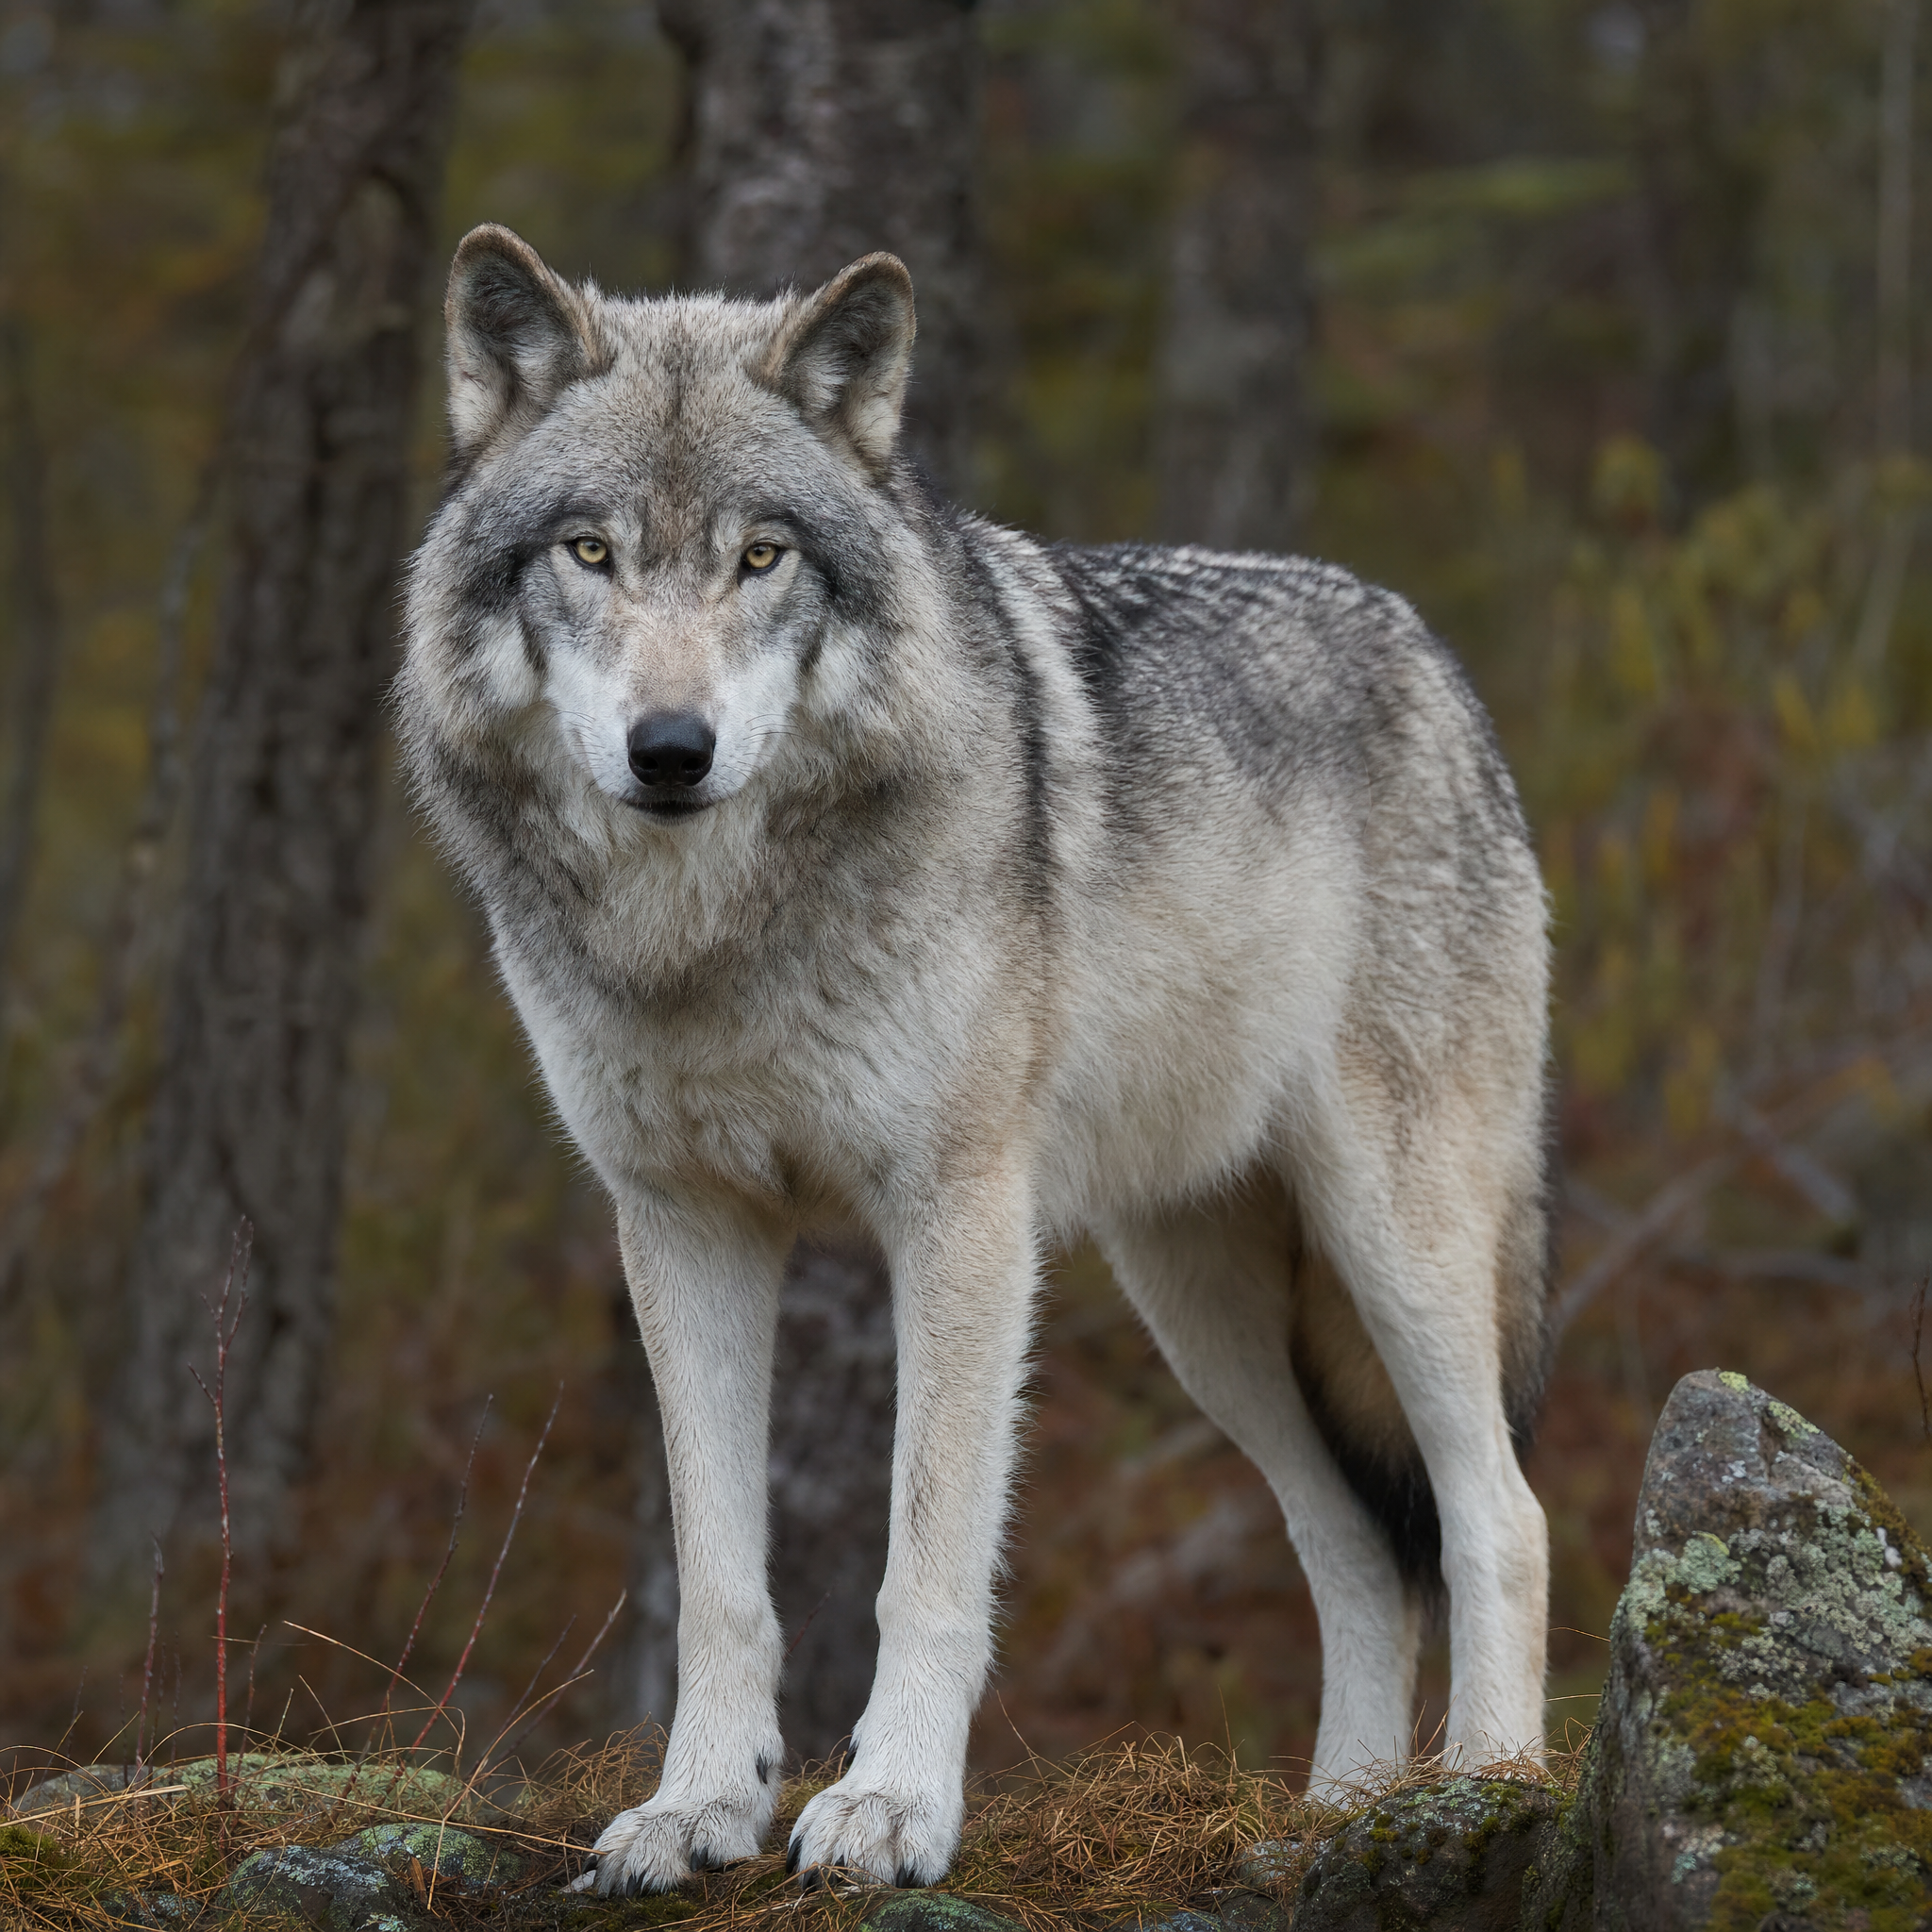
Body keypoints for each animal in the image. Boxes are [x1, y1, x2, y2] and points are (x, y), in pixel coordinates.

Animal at [398, 225, 1554, 1895]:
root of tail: (1439, 663)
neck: (716, 937)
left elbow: (925, 1559)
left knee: (1496, 1517)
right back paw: (1340, 1821)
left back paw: (1484, 1790)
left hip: (1393, 1243)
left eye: (763, 558)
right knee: (1354, 1550)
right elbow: (723, 1579)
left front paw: (890, 1808)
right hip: (1202, 1306)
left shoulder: (957, 1215)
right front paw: (699, 1809)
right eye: (591, 554)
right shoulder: (683, 1226)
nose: (671, 749)